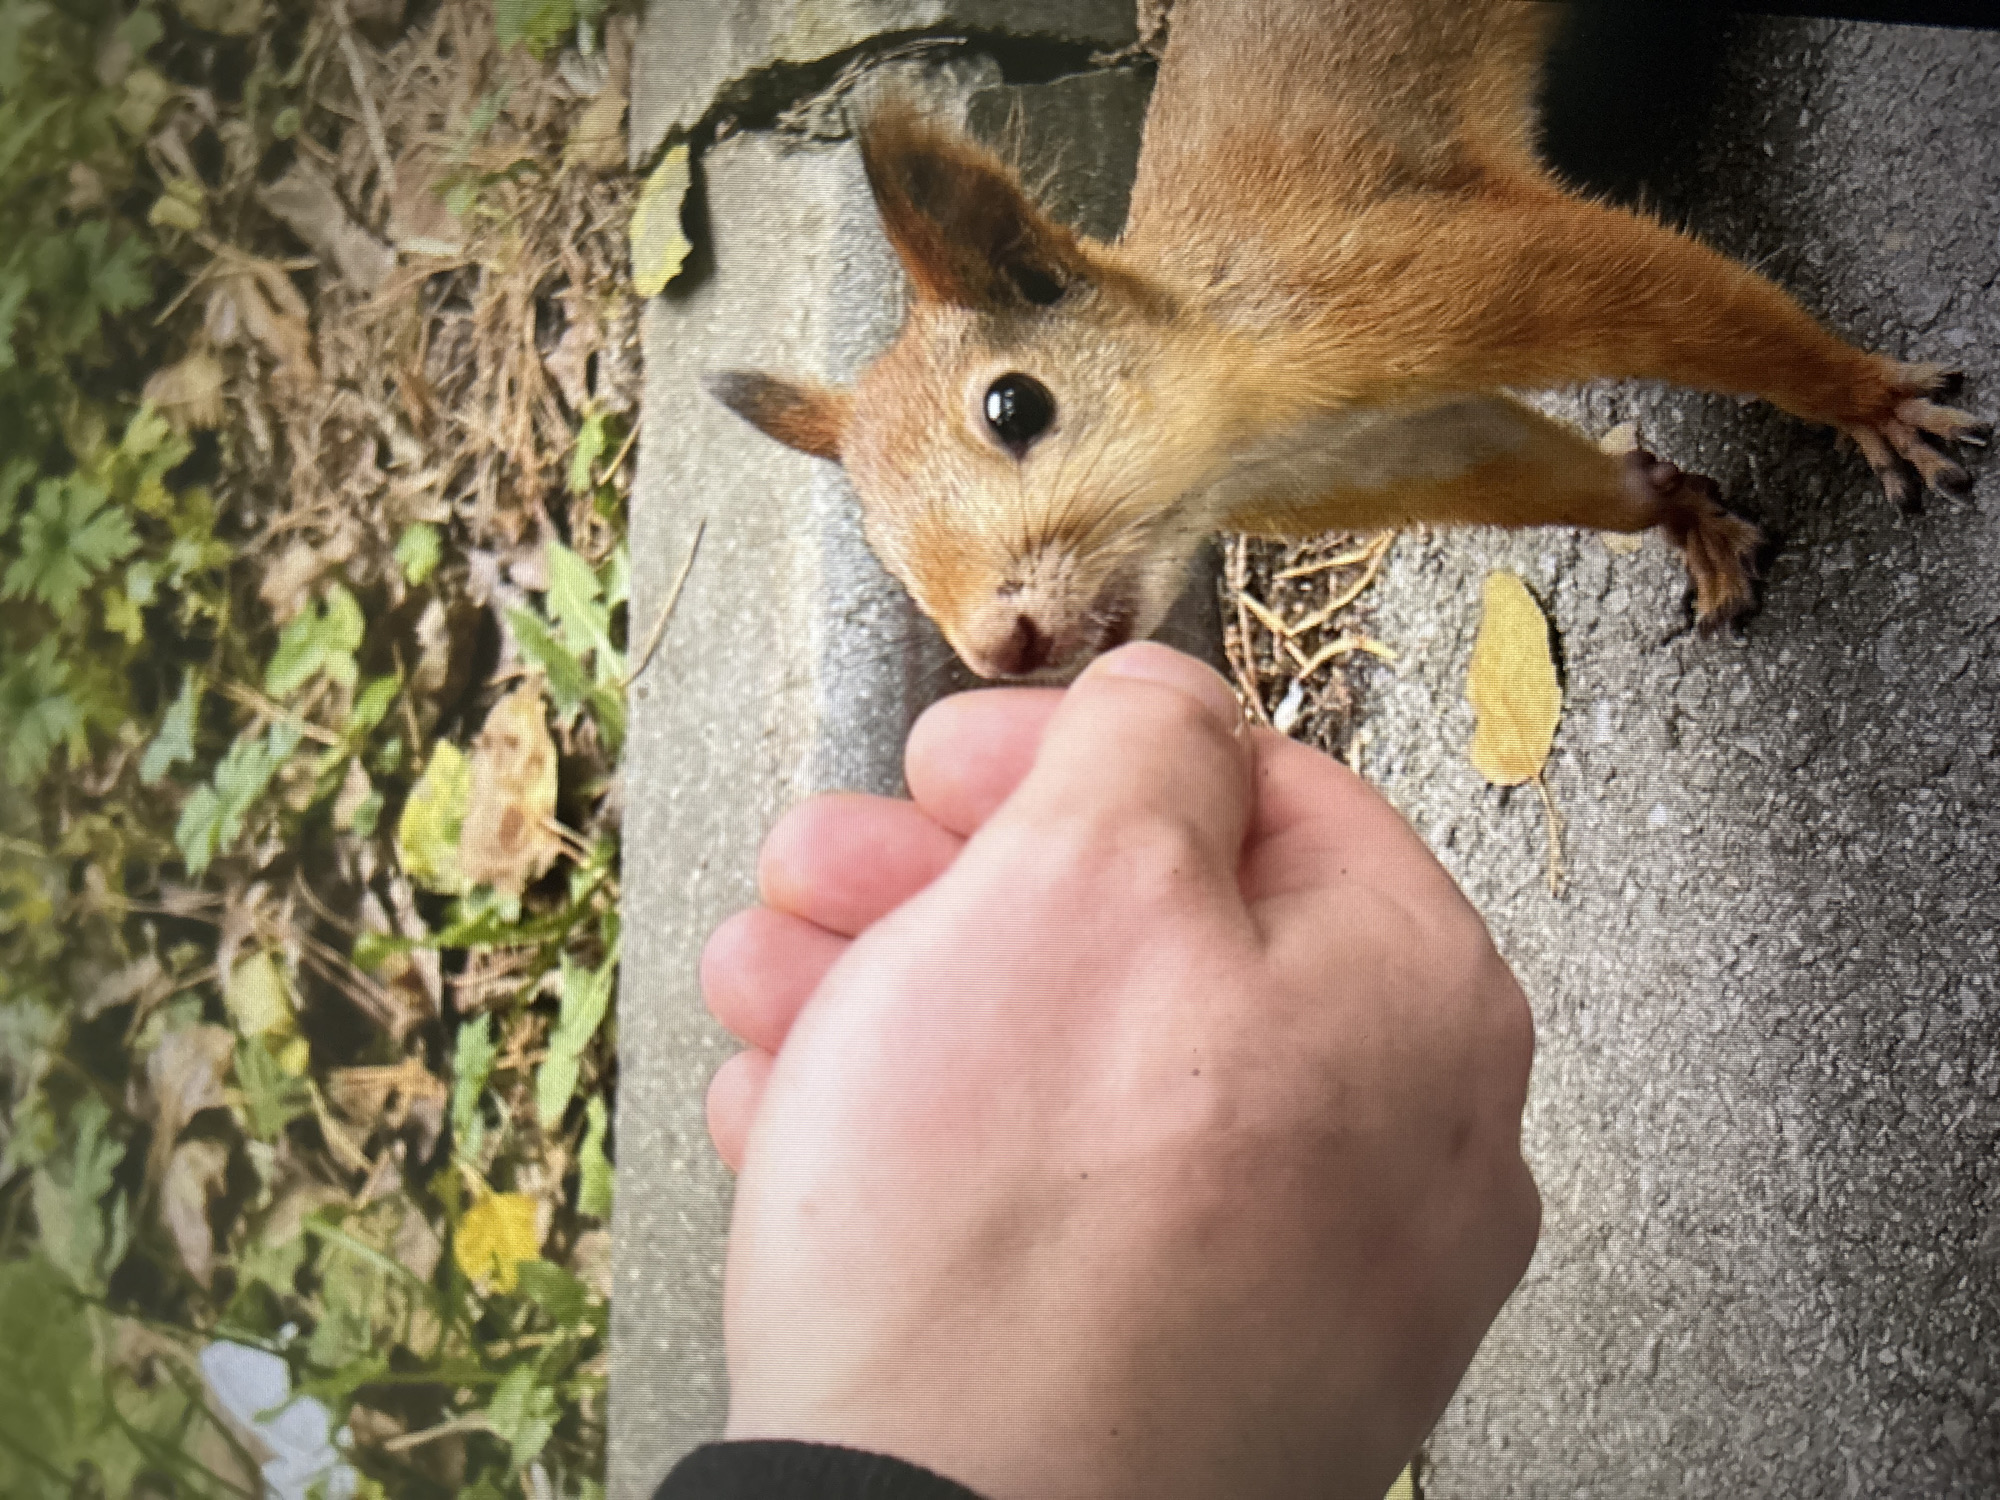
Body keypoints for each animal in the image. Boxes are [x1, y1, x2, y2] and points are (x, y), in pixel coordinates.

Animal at [708, 0, 1991, 681]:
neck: (1250, 433)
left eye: (1014, 406)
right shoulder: (1400, 452)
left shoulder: (1416, 275)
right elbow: (1545, 473)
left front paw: (1868, 405)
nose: (1001, 648)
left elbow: (1678, 299)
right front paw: (1677, 513)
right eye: (878, 548)